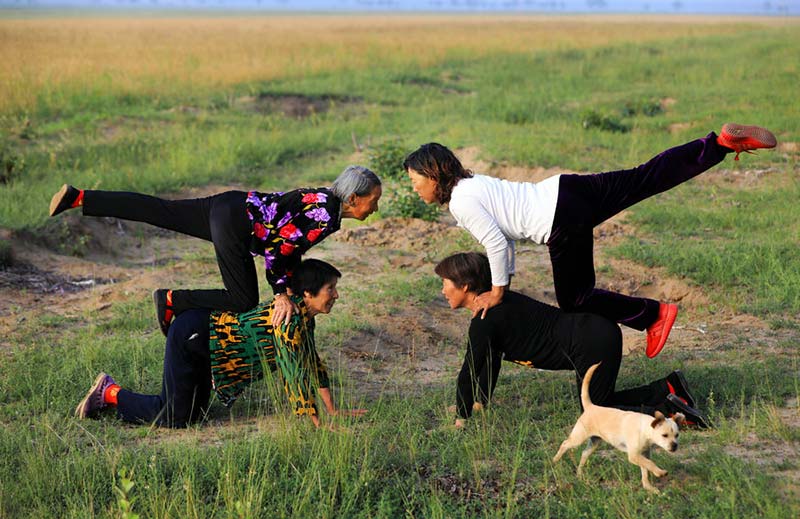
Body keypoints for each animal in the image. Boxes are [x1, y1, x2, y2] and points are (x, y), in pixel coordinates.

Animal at [552, 362, 688, 492]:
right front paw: (660, 472)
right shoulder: (634, 455)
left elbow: (645, 469)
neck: (645, 429)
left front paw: (648, 487)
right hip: (578, 438)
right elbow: (649, 464)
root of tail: (590, 406)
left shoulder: (643, 454)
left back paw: (579, 474)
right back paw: (555, 460)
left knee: (584, 453)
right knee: (564, 444)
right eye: (664, 435)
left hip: (594, 442)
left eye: (677, 435)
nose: (675, 446)